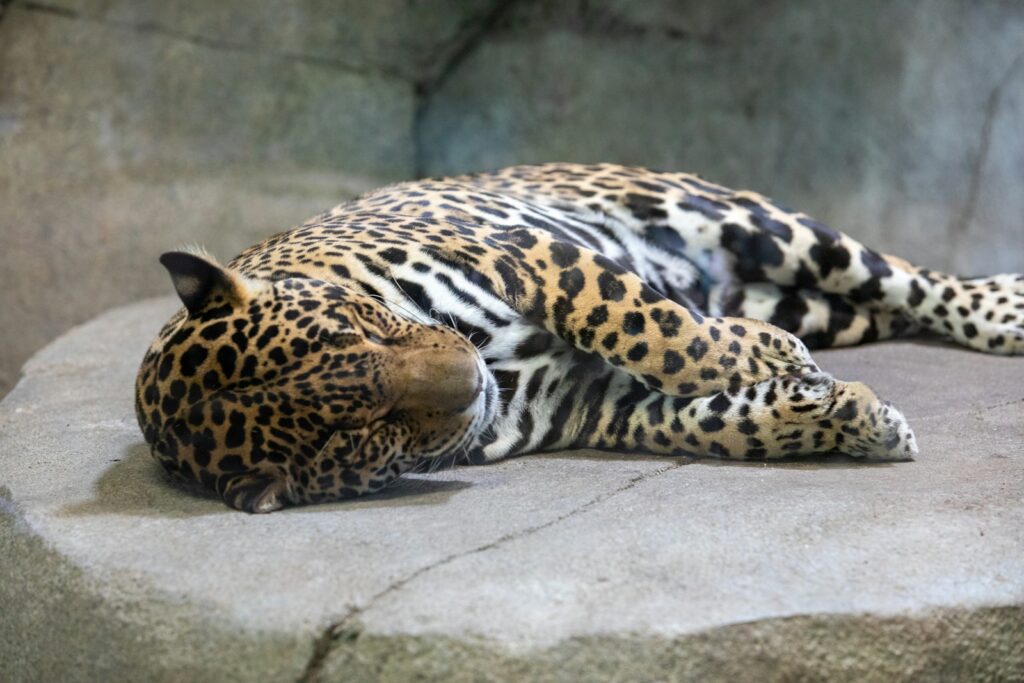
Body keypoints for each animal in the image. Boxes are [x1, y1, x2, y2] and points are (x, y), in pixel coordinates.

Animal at [134, 163, 1024, 513]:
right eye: (359, 435)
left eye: (362, 326)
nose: (470, 379)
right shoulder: (605, 405)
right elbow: (723, 422)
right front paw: (851, 414)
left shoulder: (523, 251)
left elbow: (659, 331)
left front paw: (767, 356)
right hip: (818, 301)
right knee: (881, 306)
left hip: (752, 222)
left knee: (908, 278)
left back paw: (1004, 309)